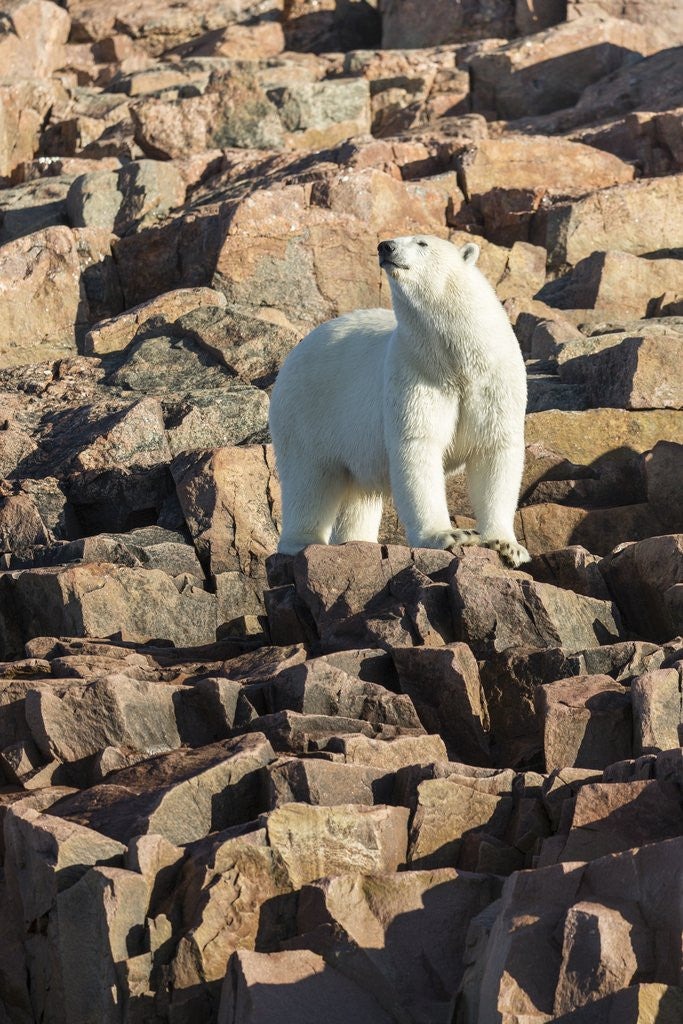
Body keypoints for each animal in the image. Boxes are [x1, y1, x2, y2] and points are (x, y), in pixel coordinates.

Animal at [268, 233, 531, 567]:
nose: (386, 246)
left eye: (422, 243)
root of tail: (296, 351)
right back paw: (302, 543)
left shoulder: (493, 383)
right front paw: (450, 535)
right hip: (307, 411)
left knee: (357, 495)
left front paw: (508, 546)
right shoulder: (413, 373)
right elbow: (418, 446)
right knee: (309, 478)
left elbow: (494, 450)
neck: (455, 362)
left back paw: (358, 541)